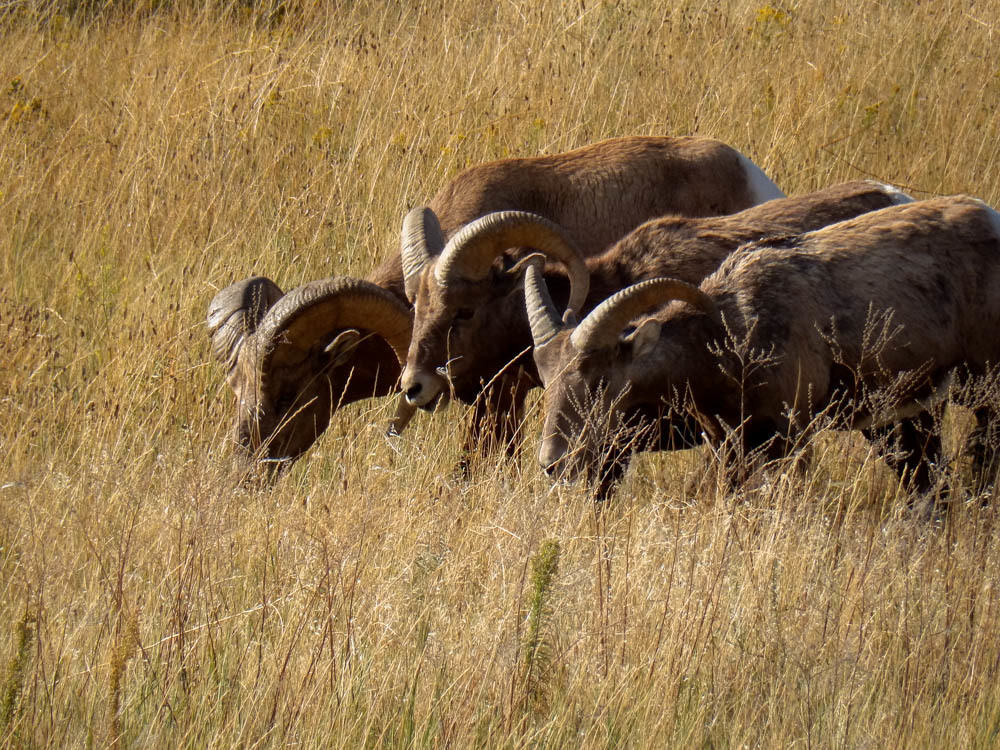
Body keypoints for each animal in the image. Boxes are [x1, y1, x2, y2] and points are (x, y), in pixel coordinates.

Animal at [528, 195, 996, 500]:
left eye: (601, 382)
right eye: (548, 381)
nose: (552, 462)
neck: (735, 331)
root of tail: (992, 219)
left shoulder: (791, 438)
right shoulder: (730, 447)